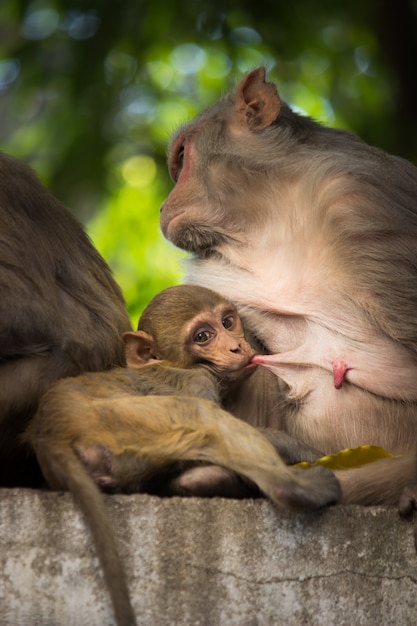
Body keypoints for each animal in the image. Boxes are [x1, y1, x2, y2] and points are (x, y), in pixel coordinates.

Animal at [26, 286, 340, 624]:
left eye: (228, 322)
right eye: (203, 336)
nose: (236, 346)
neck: (178, 365)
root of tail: (52, 434)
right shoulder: (196, 382)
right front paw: (303, 449)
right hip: (127, 421)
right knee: (199, 415)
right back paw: (295, 489)